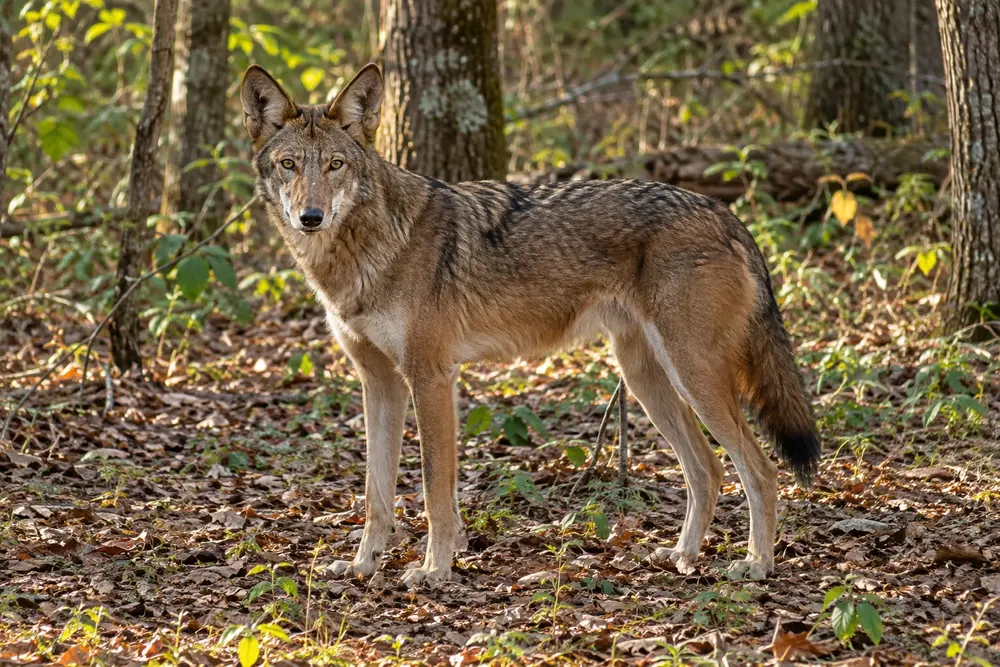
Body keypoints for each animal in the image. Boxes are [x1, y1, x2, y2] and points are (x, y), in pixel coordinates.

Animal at [240, 63, 821, 587]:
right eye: (290, 165)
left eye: (335, 165)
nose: (310, 217)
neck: (366, 250)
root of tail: (724, 212)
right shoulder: (379, 382)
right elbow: (375, 492)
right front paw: (363, 565)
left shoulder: (430, 378)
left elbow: (432, 488)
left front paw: (434, 570)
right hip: (646, 379)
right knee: (707, 469)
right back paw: (681, 556)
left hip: (693, 375)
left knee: (761, 469)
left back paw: (756, 565)